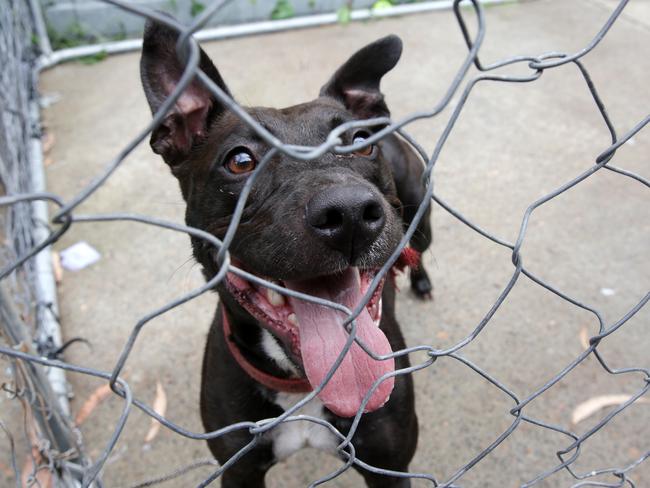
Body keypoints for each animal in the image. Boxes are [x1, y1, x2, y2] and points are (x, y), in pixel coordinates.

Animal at [139, 20, 430, 488]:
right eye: (240, 161)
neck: (305, 387)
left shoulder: (391, 465)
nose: (348, 213)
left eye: (360, 143)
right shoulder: (238, 471)